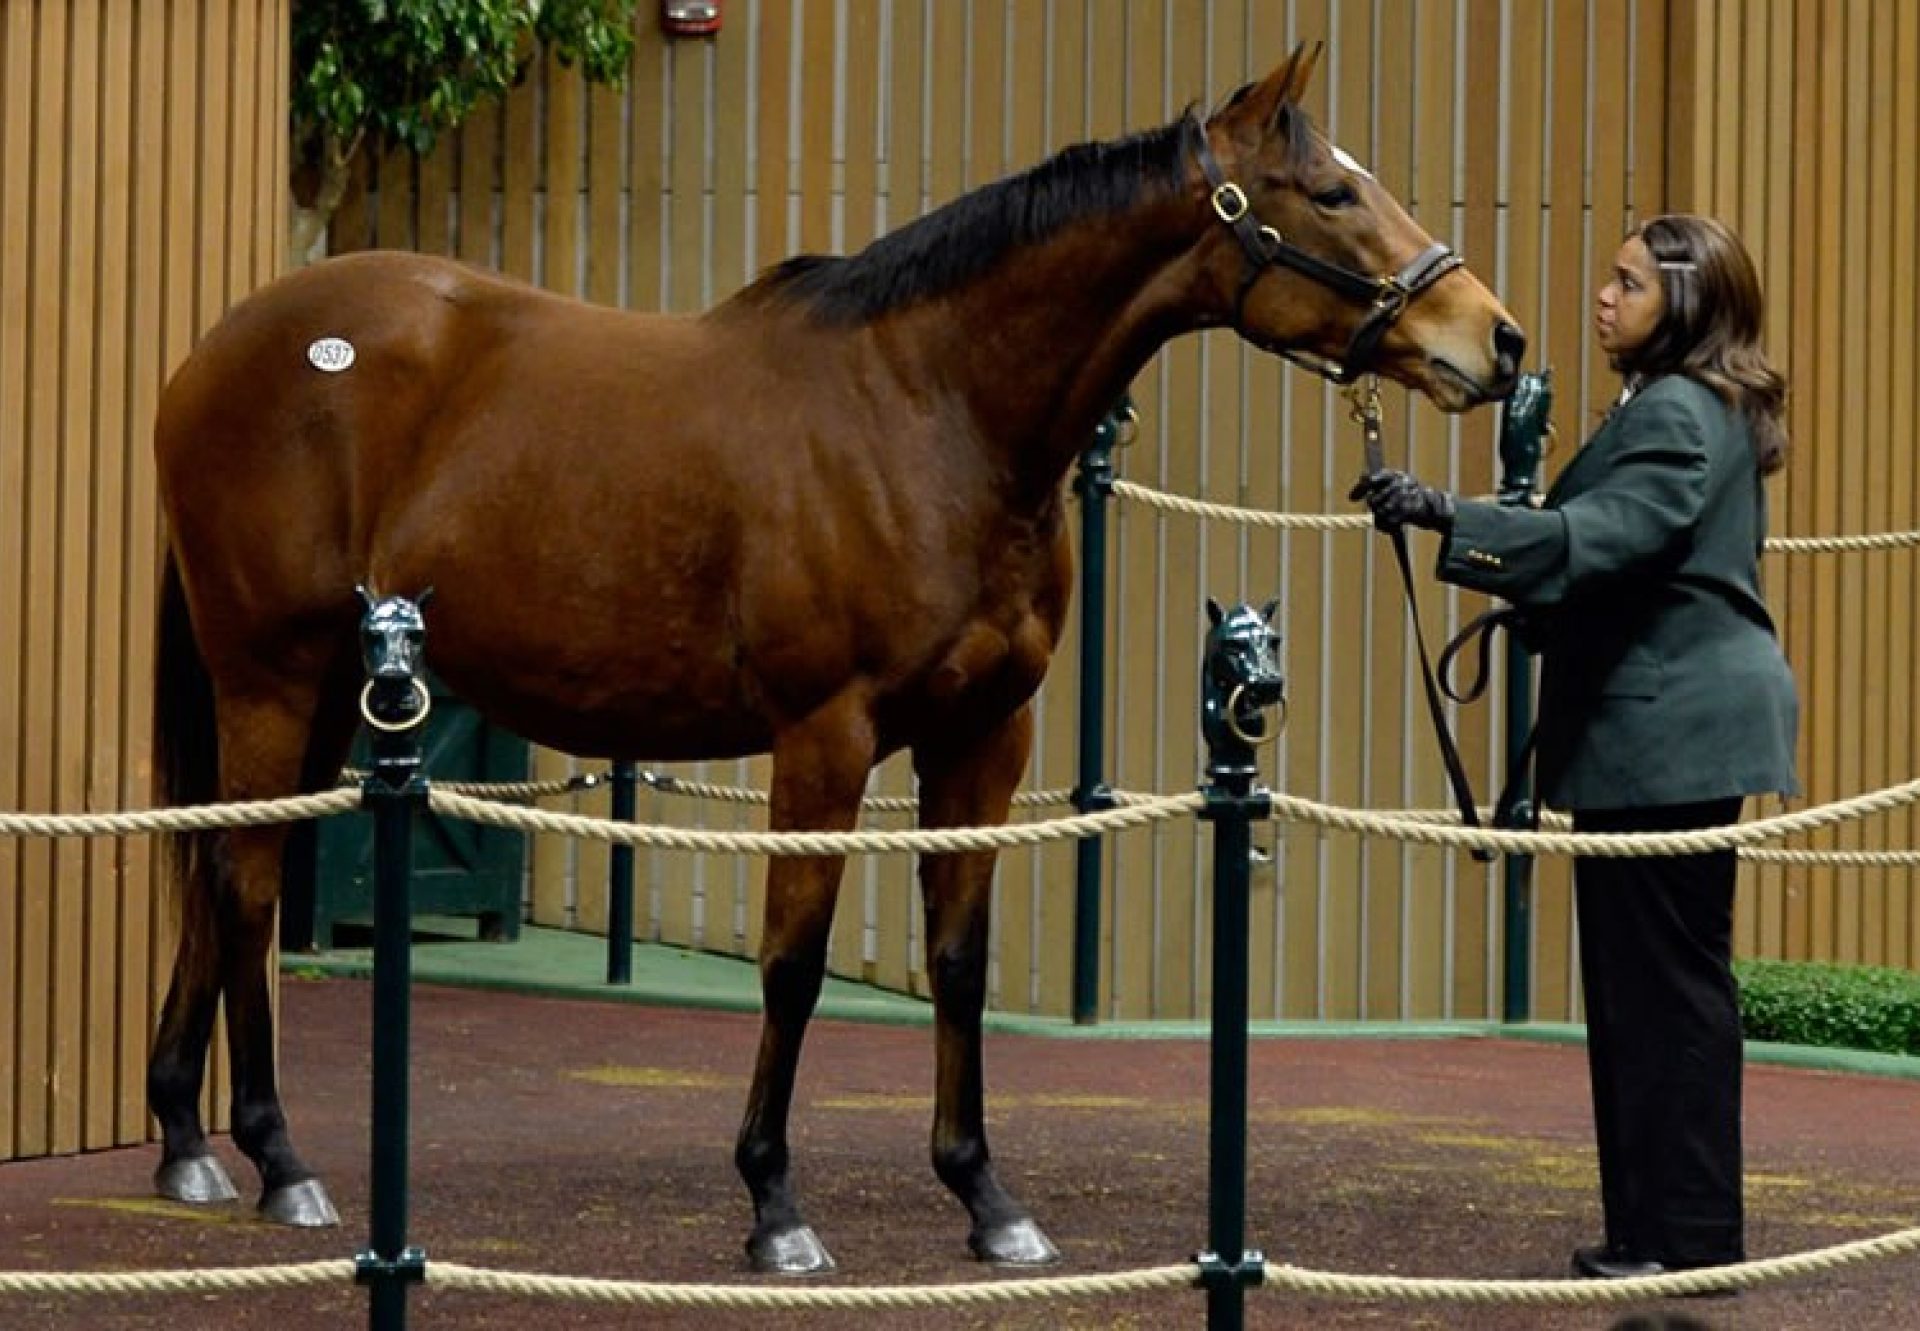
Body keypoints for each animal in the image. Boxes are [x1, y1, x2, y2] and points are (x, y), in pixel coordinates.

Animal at [148, 43, 1523, 1273]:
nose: (1495, 339)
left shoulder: (987, 736)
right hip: (273, 675)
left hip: (334, 689)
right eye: (1331, 192)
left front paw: (986, 1195)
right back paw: (280, 1157)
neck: (931, 412)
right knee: (248, 885)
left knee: (219, 866)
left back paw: (187, 1138)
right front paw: (775, 1201)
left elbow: (959, 961)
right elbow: (793, 963)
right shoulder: (827, 733)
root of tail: (217, 349)